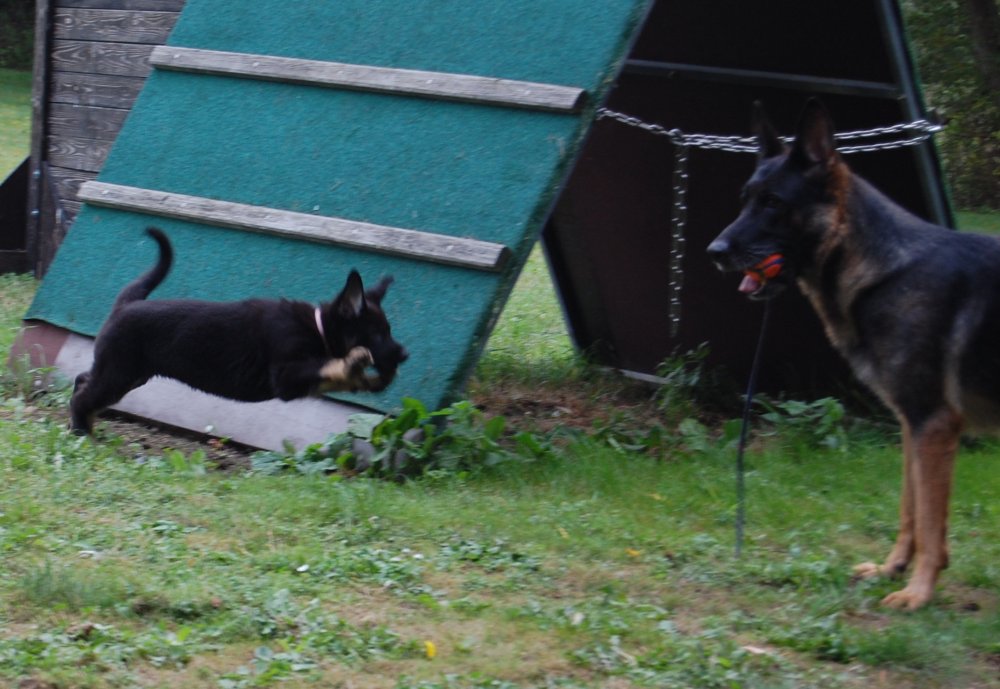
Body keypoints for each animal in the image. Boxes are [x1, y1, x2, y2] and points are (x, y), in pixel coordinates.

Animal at [70, 227, 408, 435]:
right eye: (378, 334)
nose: (404, 354)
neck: (319, 327)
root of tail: (126, 305)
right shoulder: (285, 376)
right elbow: (329, 364)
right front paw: (356, 364)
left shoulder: (299, 382)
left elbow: (332, 373)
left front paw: (364, 378)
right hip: (120, 372)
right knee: (85, 395)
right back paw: (81, 431)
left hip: (129, 373)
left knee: (83, 380)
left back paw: (84, 425)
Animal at [707, 100, 1000, 610]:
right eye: (746, 198)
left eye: (774, 203)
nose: (715, 250)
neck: (884, 267)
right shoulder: (911, 424)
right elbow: (910, 508)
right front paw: (892, 568)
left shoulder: (933, 422)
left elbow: (930, 518)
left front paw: (918, 592)